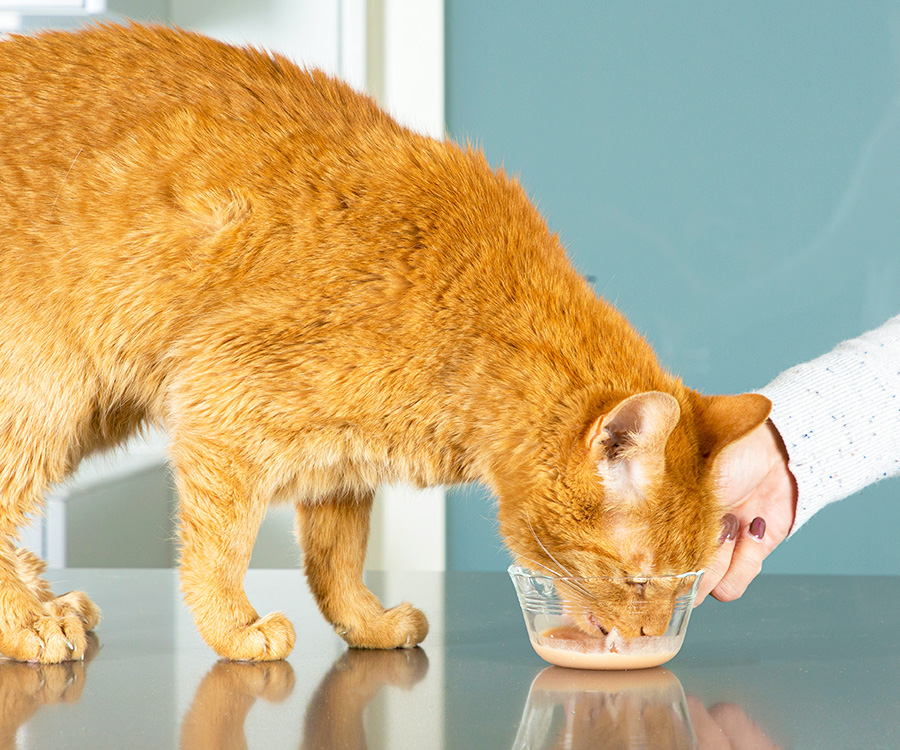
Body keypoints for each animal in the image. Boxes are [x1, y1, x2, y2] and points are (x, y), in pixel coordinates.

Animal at [0, 25, 772, 664]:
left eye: (686, 583)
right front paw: (235, 629)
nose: (647, 637)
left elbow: (336, 562)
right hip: (47, 398)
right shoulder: (222, 409)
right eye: (637, 581)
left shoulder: (339, 463)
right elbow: (219, 552)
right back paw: (32, 622)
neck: (475, 310)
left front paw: (367, 624)